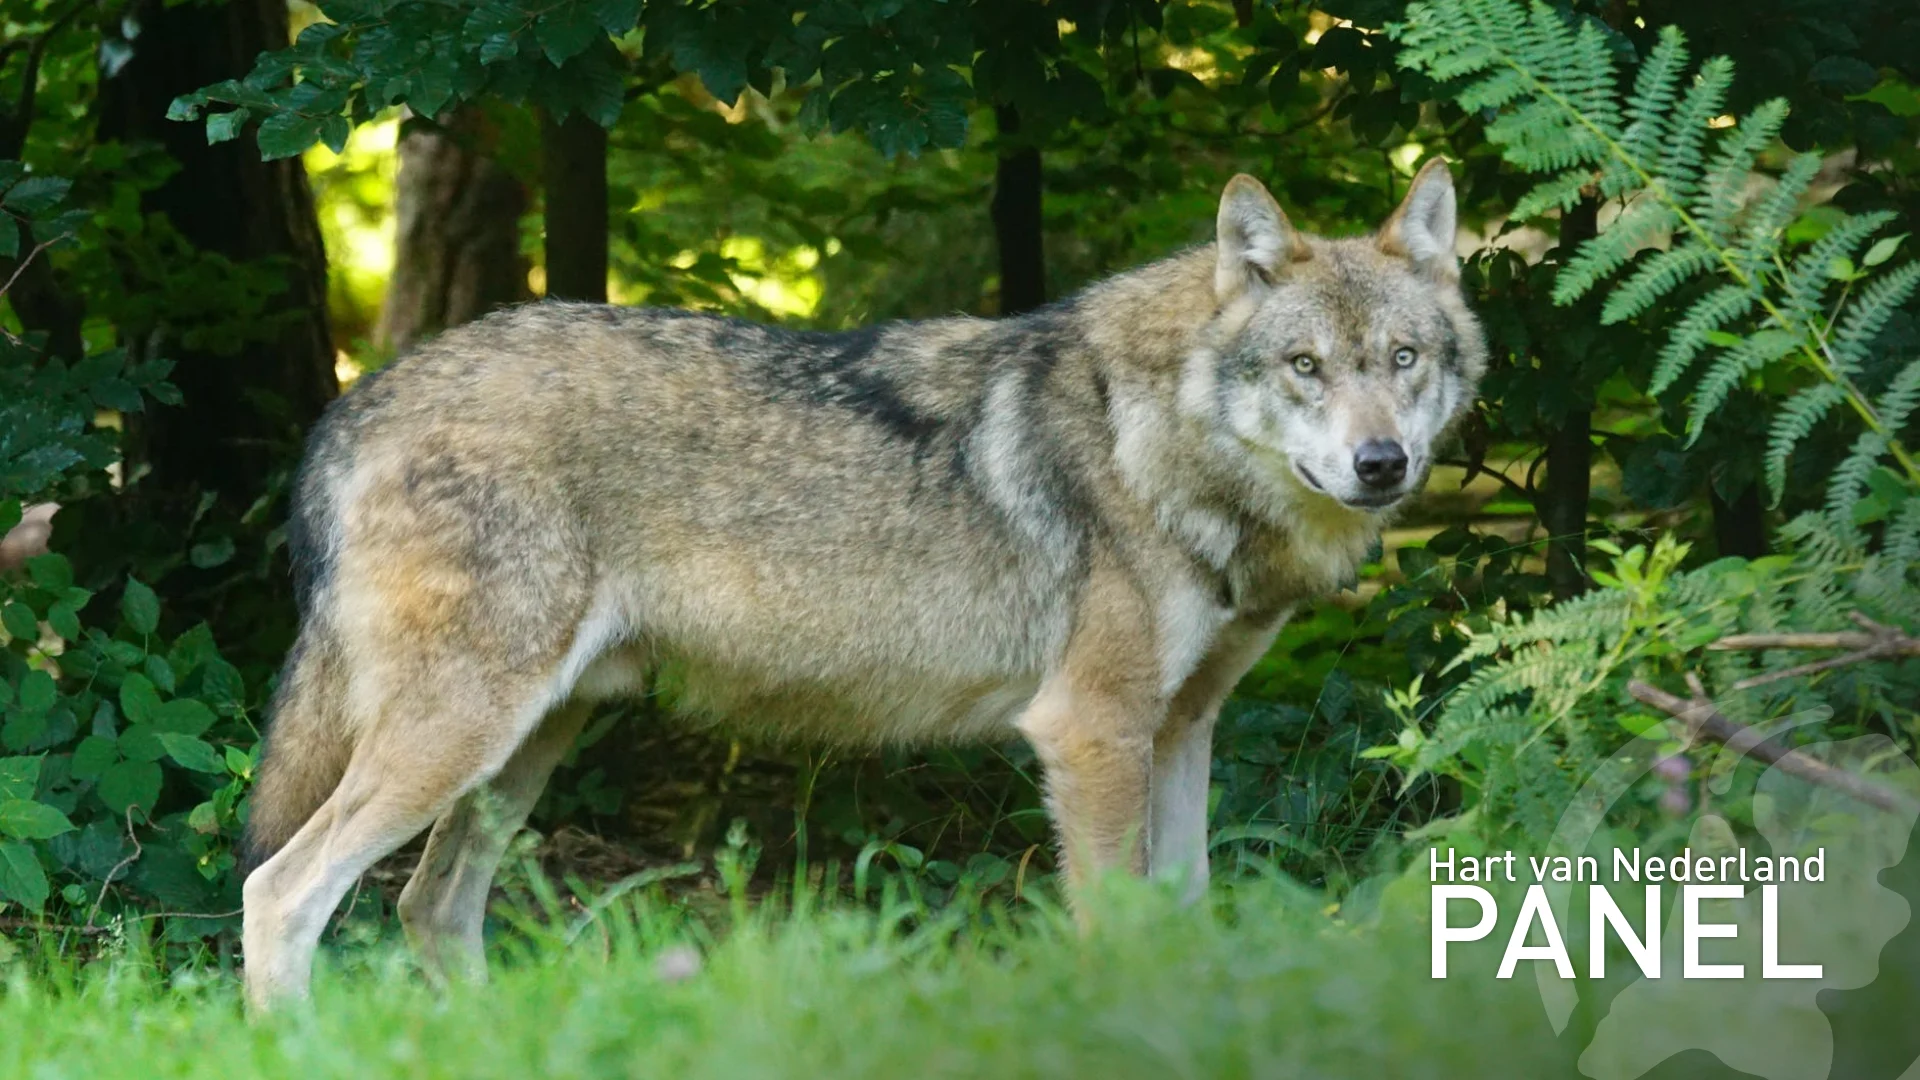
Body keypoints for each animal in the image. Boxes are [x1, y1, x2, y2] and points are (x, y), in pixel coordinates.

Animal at [239, 158, 1485, 1006]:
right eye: (1305, 367)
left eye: (1402, 361)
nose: (1383, 464)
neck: (1160, 440)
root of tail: (356, 402)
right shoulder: (1091, 733)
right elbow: (1118, 930)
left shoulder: (1182, 730)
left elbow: (1187, 916)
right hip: (461, 739)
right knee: (281, 893)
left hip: (523, 748)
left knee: (429, 907)